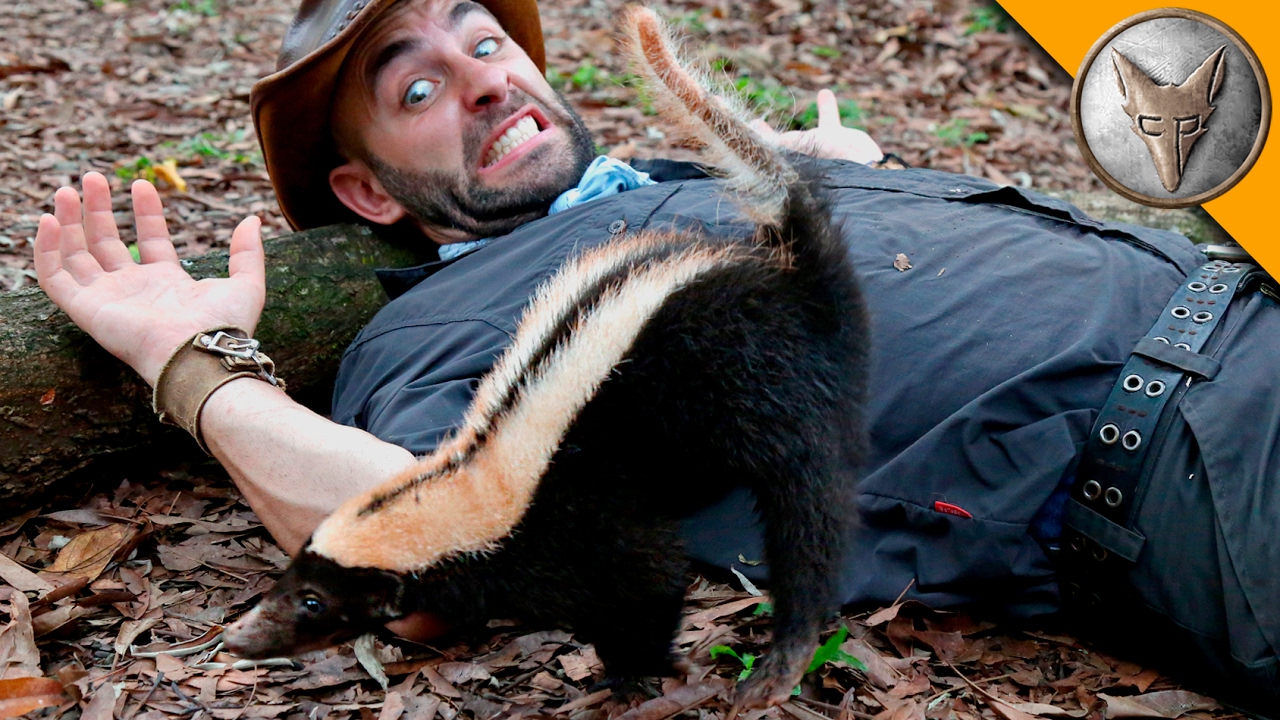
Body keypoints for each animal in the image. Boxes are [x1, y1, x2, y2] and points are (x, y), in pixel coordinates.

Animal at [227, 8, 870, 707]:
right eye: (292, 579)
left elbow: (650, 578)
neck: (473, 487)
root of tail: (783, 267)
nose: (237, 637)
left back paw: (784, 655)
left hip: (767, 385)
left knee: (806, 507)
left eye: (315, 603)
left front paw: (630, 672)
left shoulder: (587, 517)